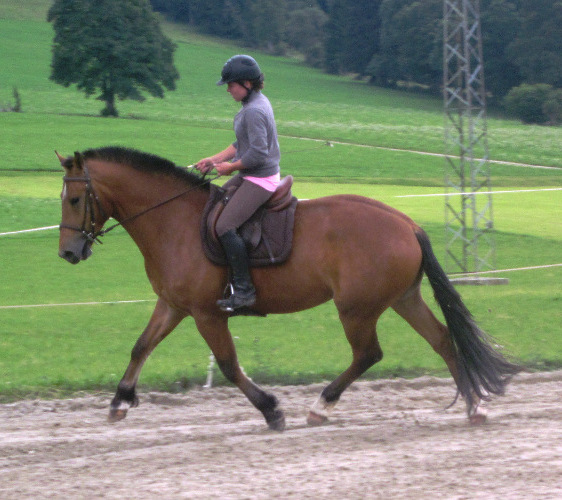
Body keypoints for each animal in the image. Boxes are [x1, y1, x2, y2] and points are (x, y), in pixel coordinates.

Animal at [55, 146, 516, 430]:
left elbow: (229, 365)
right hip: (403, 298)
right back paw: (475, 406)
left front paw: (271, 411)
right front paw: (119, 402)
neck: (173, 222)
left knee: (368, 354)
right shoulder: (172, 304)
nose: (68, 253)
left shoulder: (206, 313)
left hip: (357, 308)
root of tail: (407, 224)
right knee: (442, 340)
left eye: (75, 200)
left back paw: (320, 407)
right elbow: (141, 347)